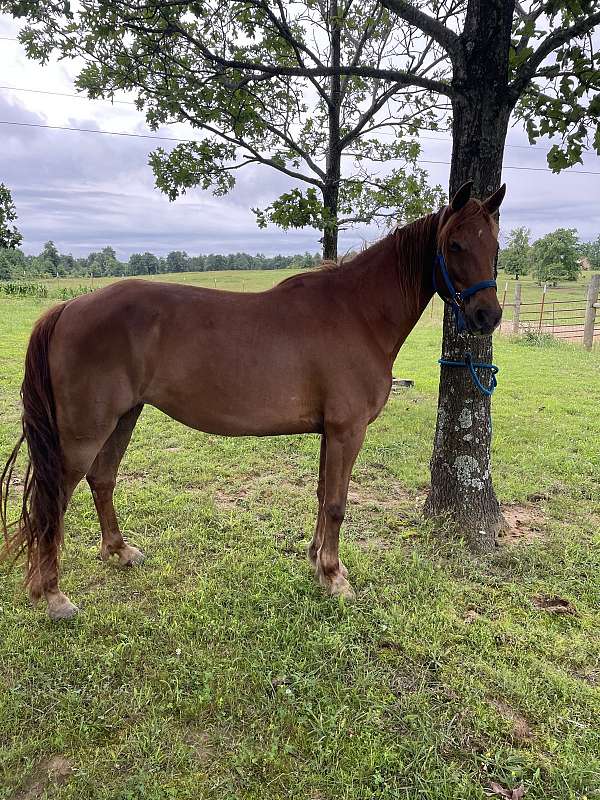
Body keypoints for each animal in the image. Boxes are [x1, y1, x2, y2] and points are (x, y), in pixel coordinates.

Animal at [0, 181, 506, 620]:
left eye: (495, 248)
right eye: (455, 245)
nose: (489, 316)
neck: (359, 314)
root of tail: (68, 307)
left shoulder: (330, 432)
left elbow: (322, 495)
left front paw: (316, 561)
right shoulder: (347, 430)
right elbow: (337, 502)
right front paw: (335, 577)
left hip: (124, 416)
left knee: (102, 480)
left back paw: (119, 551)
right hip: (86, 430)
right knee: (54, 497)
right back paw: (52, 594)